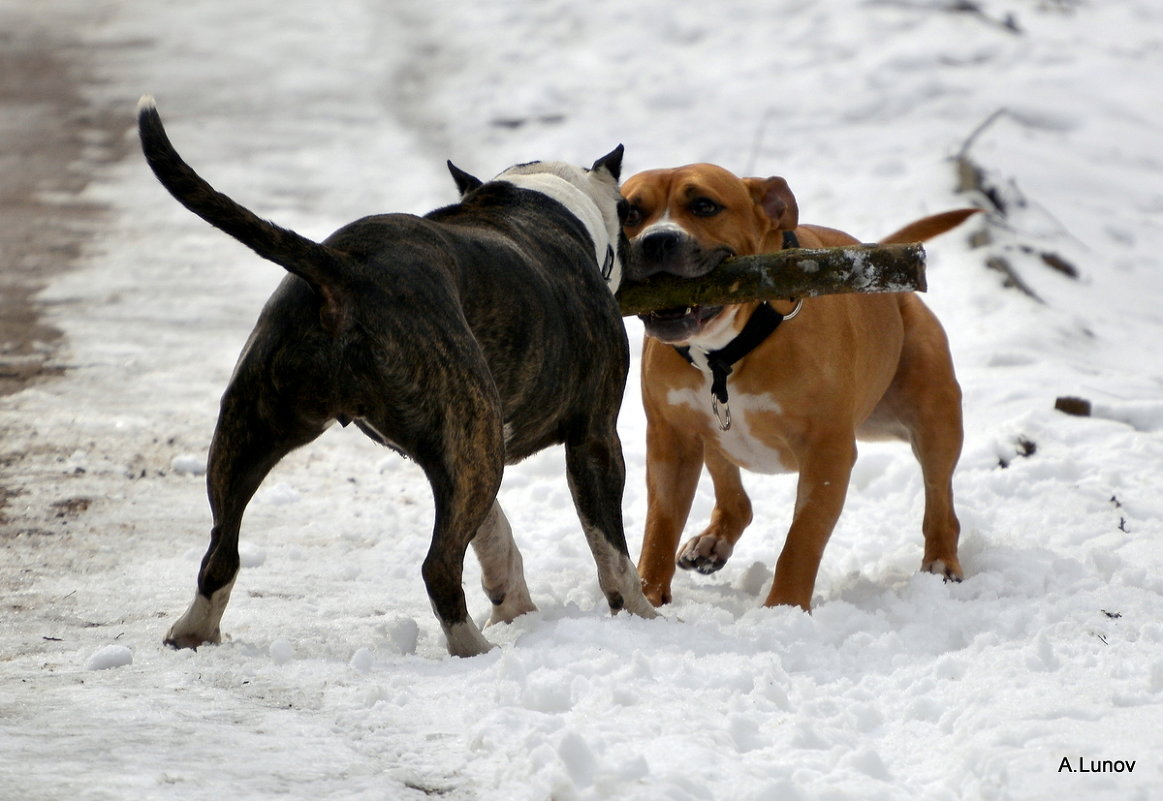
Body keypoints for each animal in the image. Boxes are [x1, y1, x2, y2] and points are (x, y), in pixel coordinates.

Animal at [623, 165, 976, 609]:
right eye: (631, 212)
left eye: (704, 205)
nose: (656, 240)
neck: (726, 351)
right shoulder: (671, 440)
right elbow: (660, 525)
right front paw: (647, 598)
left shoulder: (827, 451)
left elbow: (802, 539)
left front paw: (783, 608)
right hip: (714, 436)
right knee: (735, 498)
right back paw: (712, 542)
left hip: (931, 418)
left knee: (939, 496)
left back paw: (942, 561)